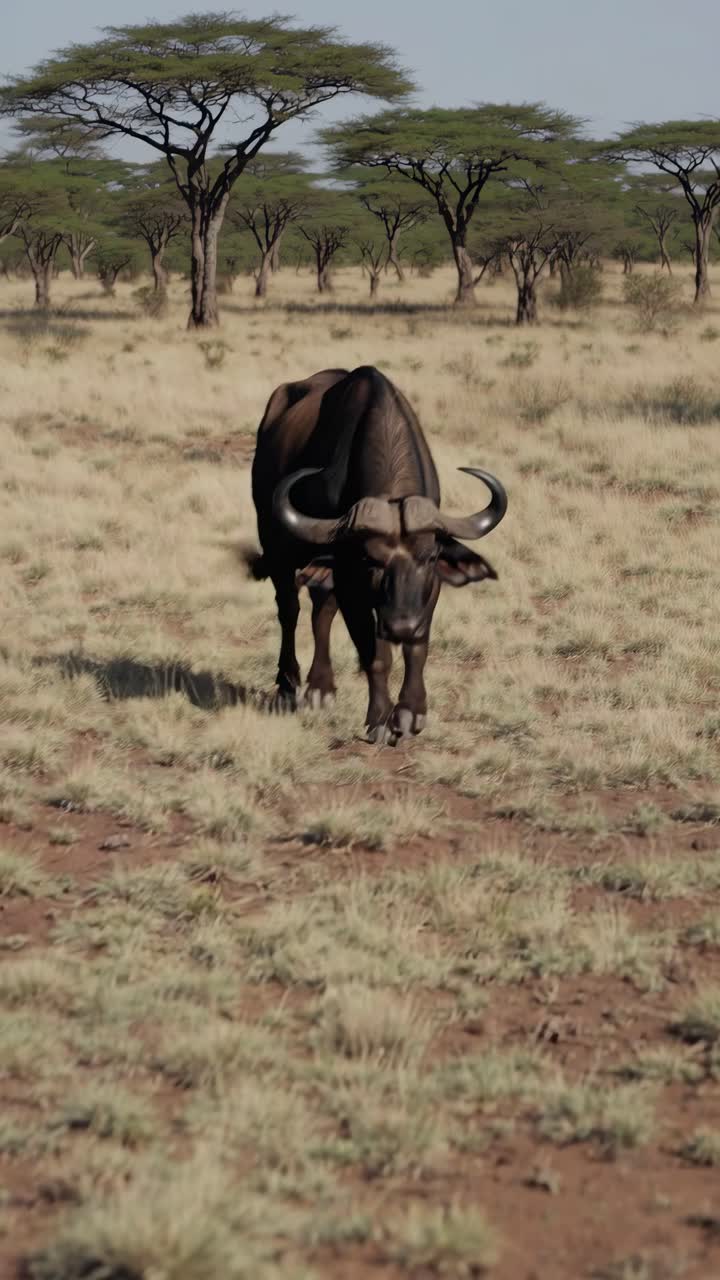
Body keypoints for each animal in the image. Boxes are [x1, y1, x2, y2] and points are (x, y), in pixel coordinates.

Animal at [250, 365, 507, 744]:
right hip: (274, 544)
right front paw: (381, 719)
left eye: (430, 558)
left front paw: (412, 712)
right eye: (371, 561)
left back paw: (321, 687)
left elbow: (418, 647)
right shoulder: (352, 583)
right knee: (289, 609)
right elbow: (375, 654)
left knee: (321, 610)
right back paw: (287, 685)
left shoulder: (426, 592)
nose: (401, 625)